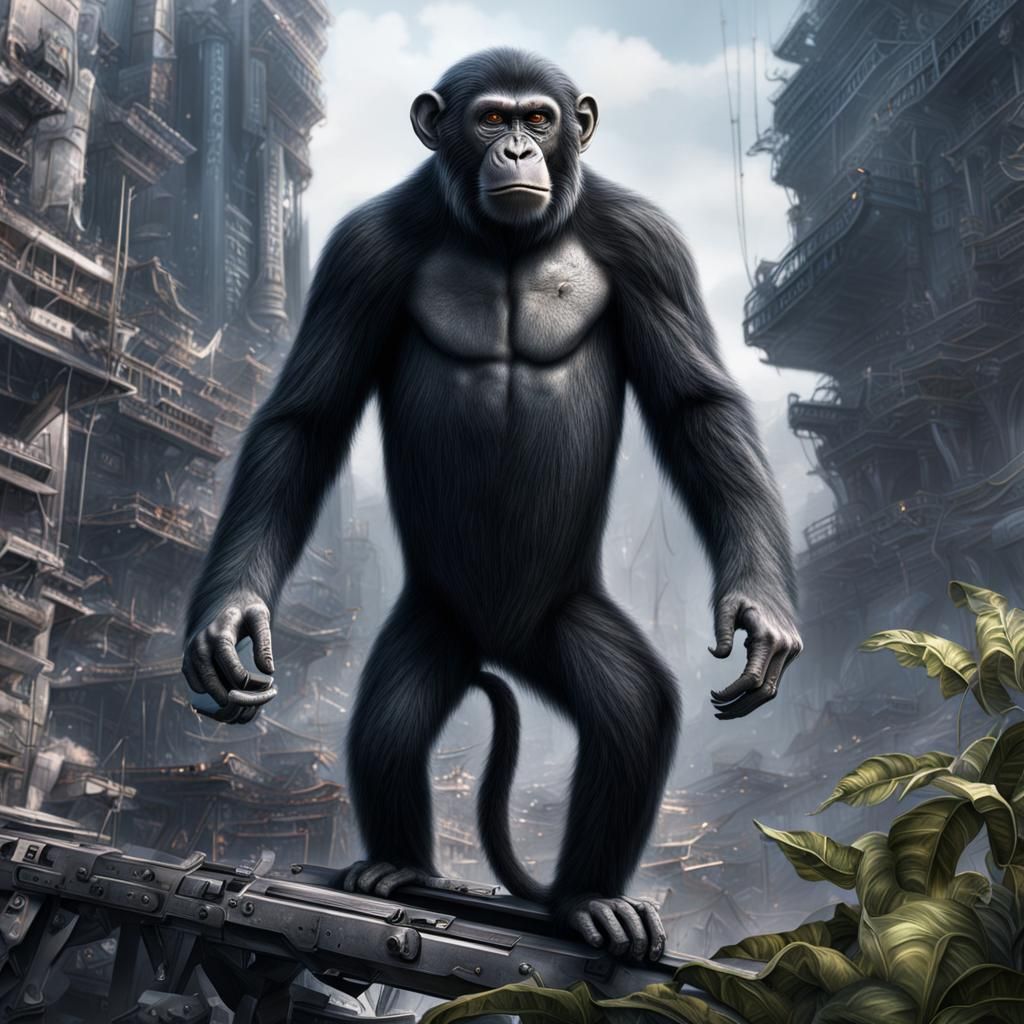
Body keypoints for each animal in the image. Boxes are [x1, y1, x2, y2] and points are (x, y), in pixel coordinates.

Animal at [182, 48, 802, 961]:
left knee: (632, 712)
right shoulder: (361, 251)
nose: (516, 151)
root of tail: (504, 645)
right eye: (489, 120)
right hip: (434, 621)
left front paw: (760, 608)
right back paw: (399, 865)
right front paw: (230, 617)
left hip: (562, 618)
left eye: (539, 118)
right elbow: (308, 418)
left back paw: (588, 899)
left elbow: (696, 409)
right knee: (393, 720)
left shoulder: (648, 243)